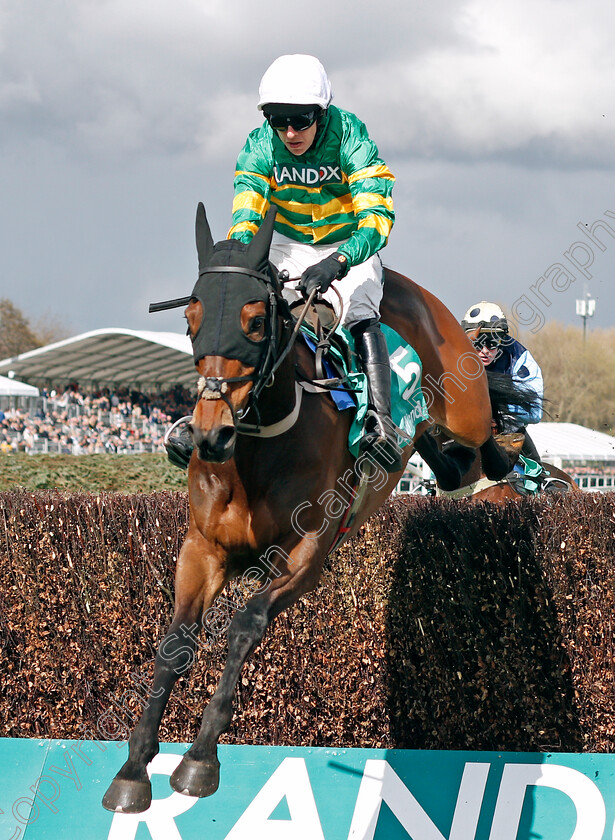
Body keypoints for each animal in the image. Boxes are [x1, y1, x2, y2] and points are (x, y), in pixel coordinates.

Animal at [102, 200, 510, 812]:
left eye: (253, 321)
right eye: (191, 319)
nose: (210, 434)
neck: (260, 447)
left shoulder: (308, 554)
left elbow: (245, 623)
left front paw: (200, 759)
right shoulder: (203, 548)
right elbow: (176, 642)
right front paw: (133, 768)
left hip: (466, 403)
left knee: (483, 436)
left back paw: (519, 452)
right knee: (452, 463)